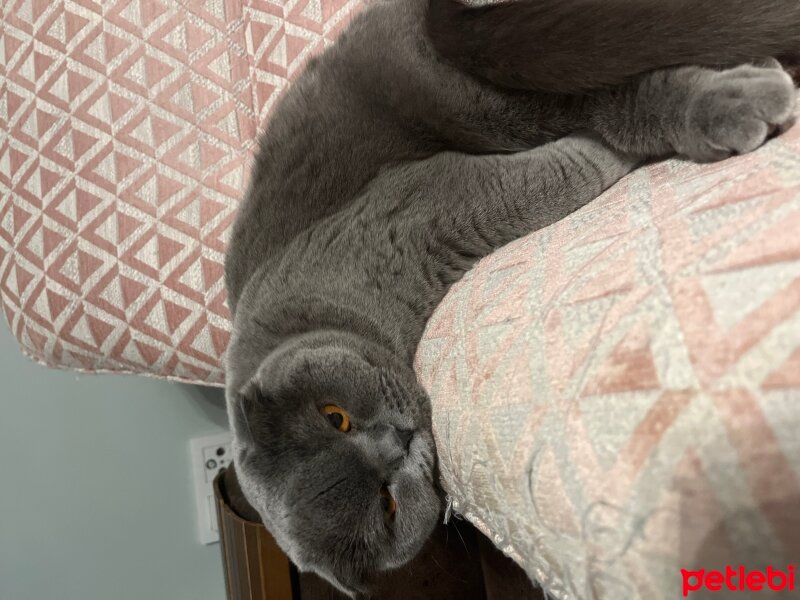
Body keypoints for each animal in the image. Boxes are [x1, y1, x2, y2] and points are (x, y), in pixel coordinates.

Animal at [225, 0, 800, 596]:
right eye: (386, 505)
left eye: (334, 416)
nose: (396, 442)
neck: (306, 317)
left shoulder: (423, 199)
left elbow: (557, 170)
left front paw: (603, 155)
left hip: (471, 96)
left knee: (609, 98)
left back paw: (740, 97)